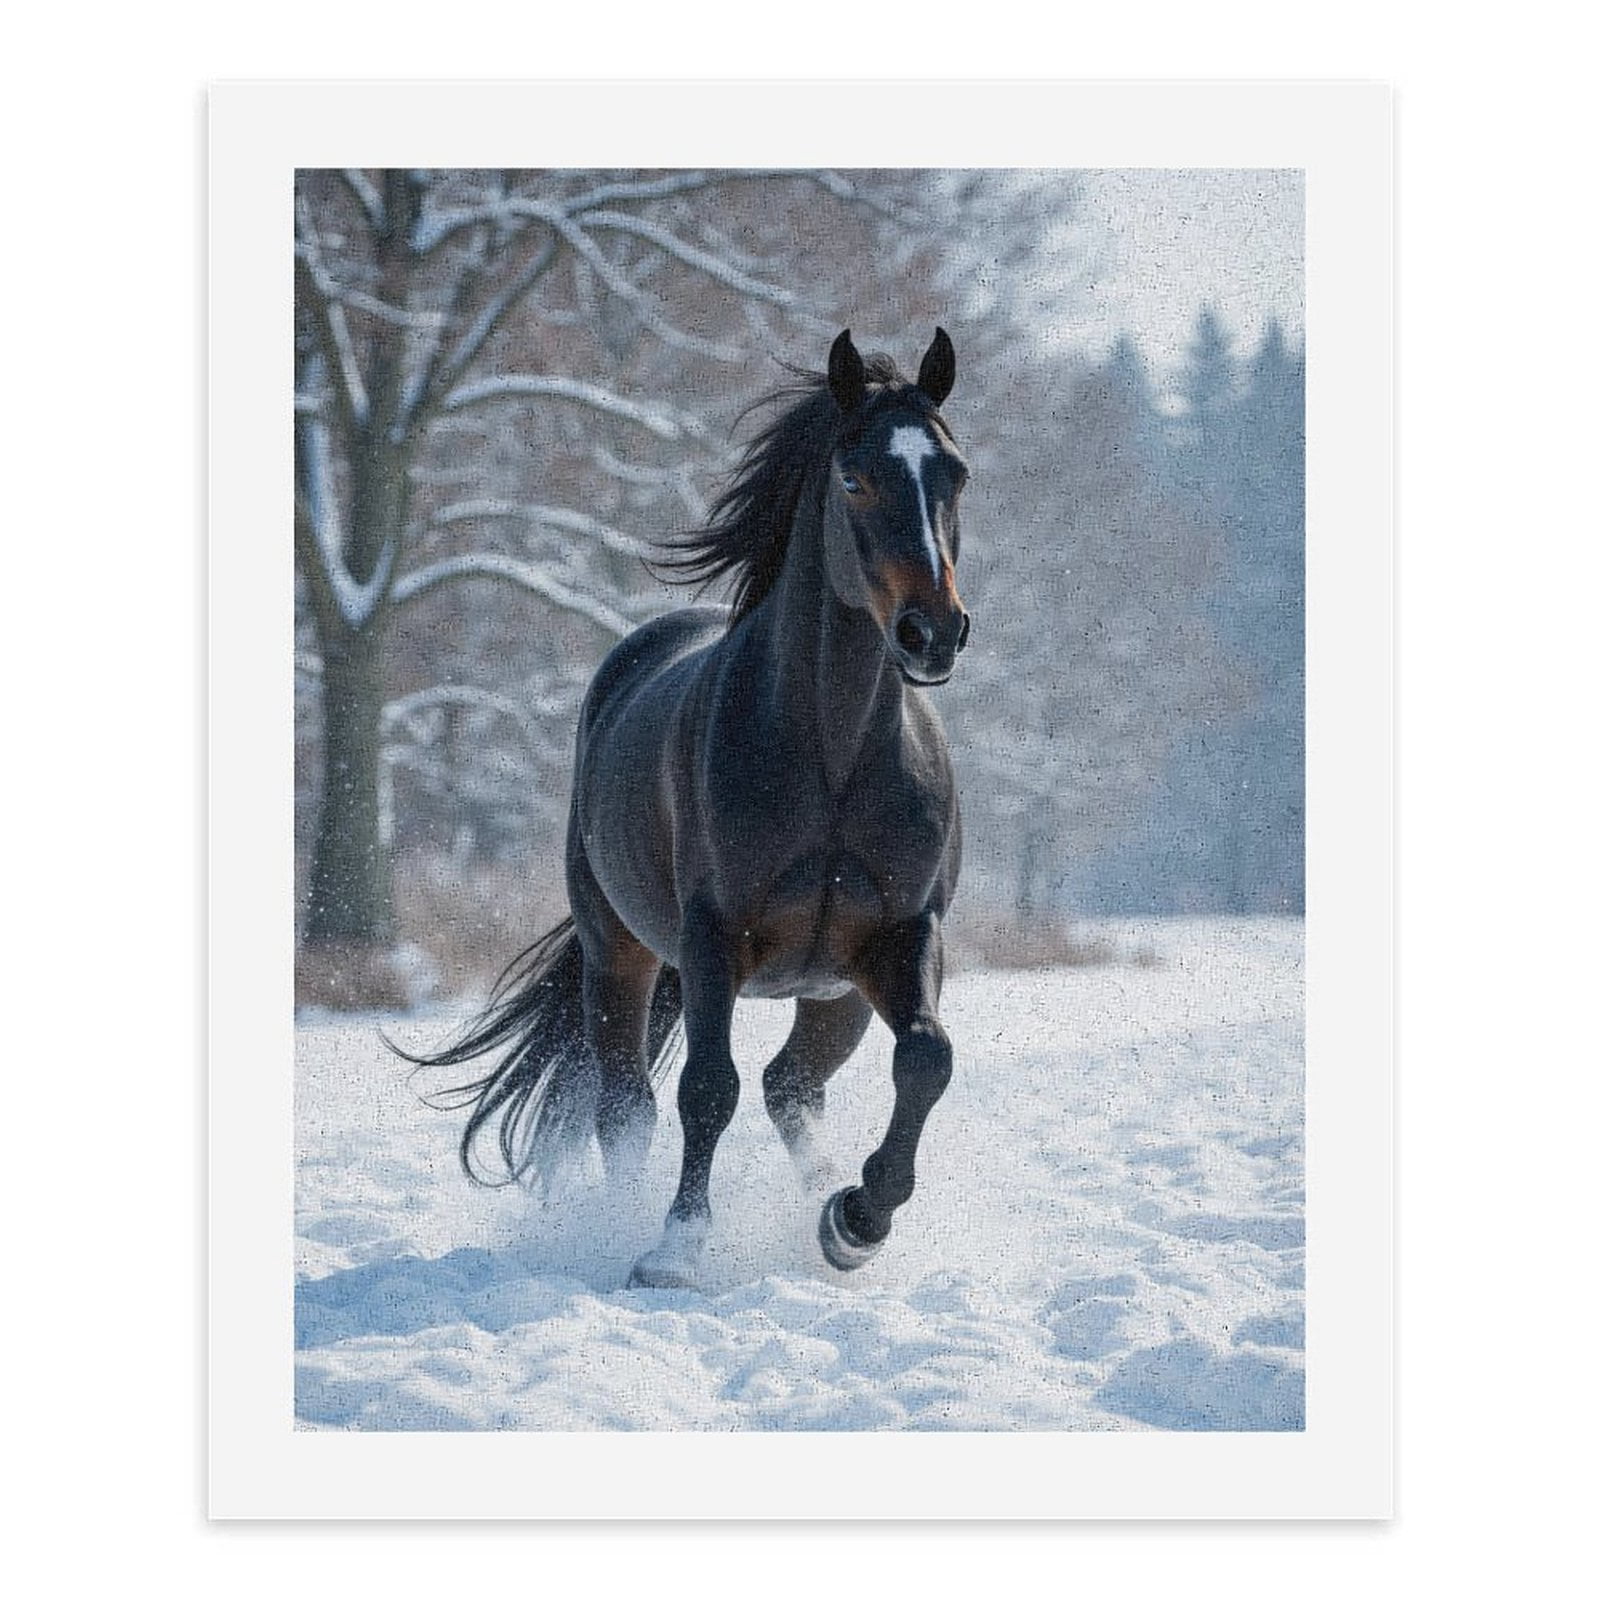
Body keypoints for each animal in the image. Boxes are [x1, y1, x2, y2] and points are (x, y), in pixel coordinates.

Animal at [404, 328, 973, 1290]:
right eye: (854, 477)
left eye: (956, 474)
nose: (932, 634)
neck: (830, 758)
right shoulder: (714, 938)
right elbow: (707, 1088)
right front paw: (673, 1249)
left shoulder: (901, 935)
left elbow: (927, 1059)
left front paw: (856, 1220)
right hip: (620, 954)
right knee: (628, 1103)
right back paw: (623, 1223)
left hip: (836, 990)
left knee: (792, 1087)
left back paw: (824, 1199)